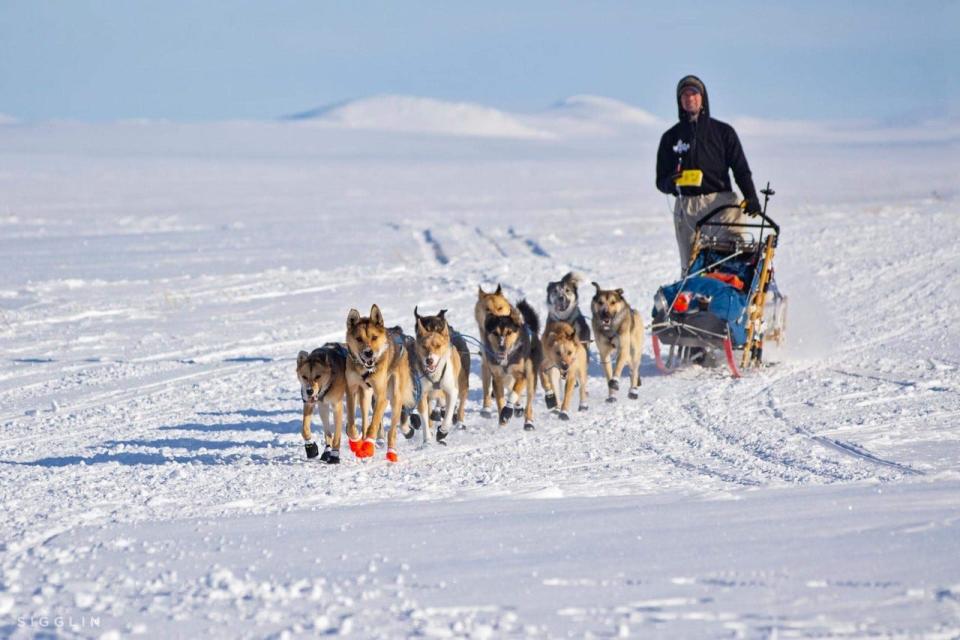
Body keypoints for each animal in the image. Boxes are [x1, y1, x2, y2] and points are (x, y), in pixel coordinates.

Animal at [346, 304, 418, 460]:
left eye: (374, 337)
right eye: (358, 338)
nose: (368, 353)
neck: (365, 370)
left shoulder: (382, 397)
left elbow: (374, 425)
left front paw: (368, 445)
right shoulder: (351, 391)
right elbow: (351, 424)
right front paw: (355, 442)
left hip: (395, 398)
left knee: (392, 431)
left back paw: (391, 452)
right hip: (366, 397)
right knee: (365, 421)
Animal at [412, 310, 472, 444]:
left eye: (438, 345)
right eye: (424, 346)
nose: (429, 360)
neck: (435, 375)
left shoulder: (452, 391)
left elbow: (448, 414)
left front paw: (443, 431)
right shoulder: (422, 395)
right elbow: (424, 418)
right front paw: (427, 440)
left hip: (462, 384)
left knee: (460, 405)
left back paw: (459, 422)